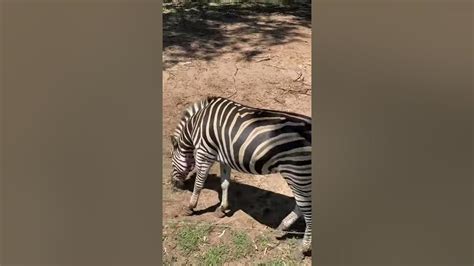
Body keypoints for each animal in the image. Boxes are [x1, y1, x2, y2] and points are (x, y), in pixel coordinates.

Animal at [169, 96, 312, 256]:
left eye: (171, 159)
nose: (174, 184)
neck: (194, 126)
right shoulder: (224, 157)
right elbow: (225, 183)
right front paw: (222, 209)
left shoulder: (204, 153)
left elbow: (199, 184)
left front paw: (190, 207)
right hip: (301, 174)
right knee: (301, 205)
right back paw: (283, 227)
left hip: (297, 172)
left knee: (307, 210)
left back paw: (303, 249)